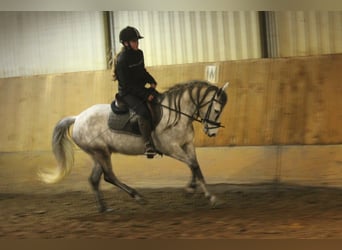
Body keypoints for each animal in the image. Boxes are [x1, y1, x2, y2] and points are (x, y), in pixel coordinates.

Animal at [38, 81, 228, 212]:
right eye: (216, 110)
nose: (212, 133)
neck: (176, 114)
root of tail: (77, 118)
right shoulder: (171, 148)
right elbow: (193, 164)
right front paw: (200, 193)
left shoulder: (187, 145)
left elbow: (195, 166)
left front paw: (200, 192)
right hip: (101, 152)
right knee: (109, 176)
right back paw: (137, 196)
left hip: (99, 153)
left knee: (95, 179)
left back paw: (104, 208)